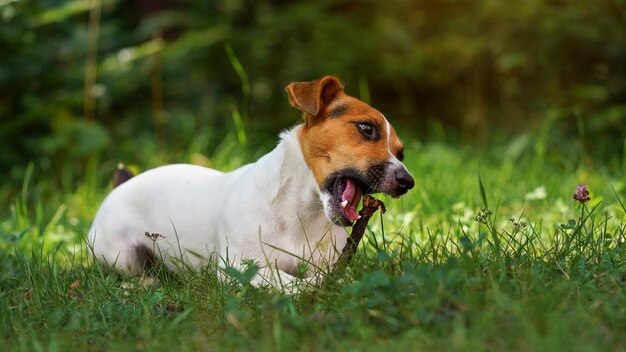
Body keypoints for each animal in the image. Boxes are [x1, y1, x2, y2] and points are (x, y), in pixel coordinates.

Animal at [85, 77, 412, 292]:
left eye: (401, 153)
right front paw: (315, 285)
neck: (300, 213)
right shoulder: (239, 267)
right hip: (118, 253)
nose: (407, 182)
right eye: (366, 128)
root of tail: (122, 183)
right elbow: (282, 277)